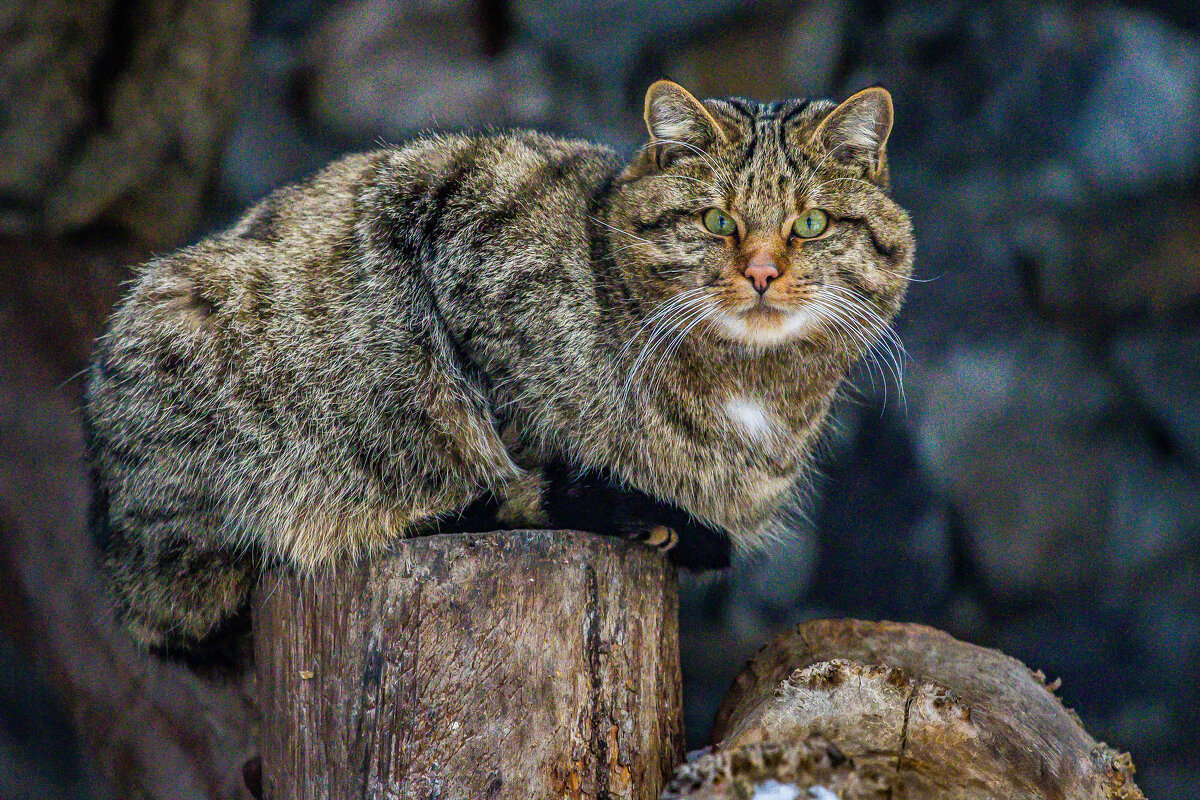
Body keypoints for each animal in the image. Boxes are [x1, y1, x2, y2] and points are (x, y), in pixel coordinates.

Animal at [82, 77, 907, 662]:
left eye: (811, 224)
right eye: (716, 221)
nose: (763, 272)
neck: (749, 383)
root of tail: (117, 552)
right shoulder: (456, 242)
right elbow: (502, 428)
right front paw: (618, 507)